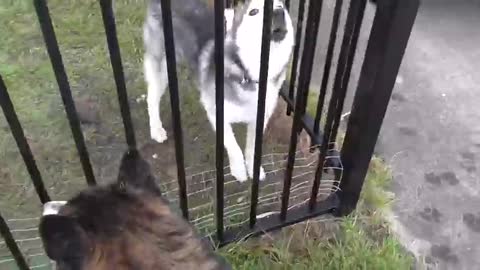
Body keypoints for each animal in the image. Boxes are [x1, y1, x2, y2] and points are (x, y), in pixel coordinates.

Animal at [142, 0, 294, 182]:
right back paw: (156, 129)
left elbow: (252, 147)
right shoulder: (216, 112)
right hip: (162, 66)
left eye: (280, 6)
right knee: (152, 98)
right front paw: (239, 170)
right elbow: (234, 146)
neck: (247, 73)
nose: (278, 12)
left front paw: (253, 168)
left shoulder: (260, 118)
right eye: (253, 11)